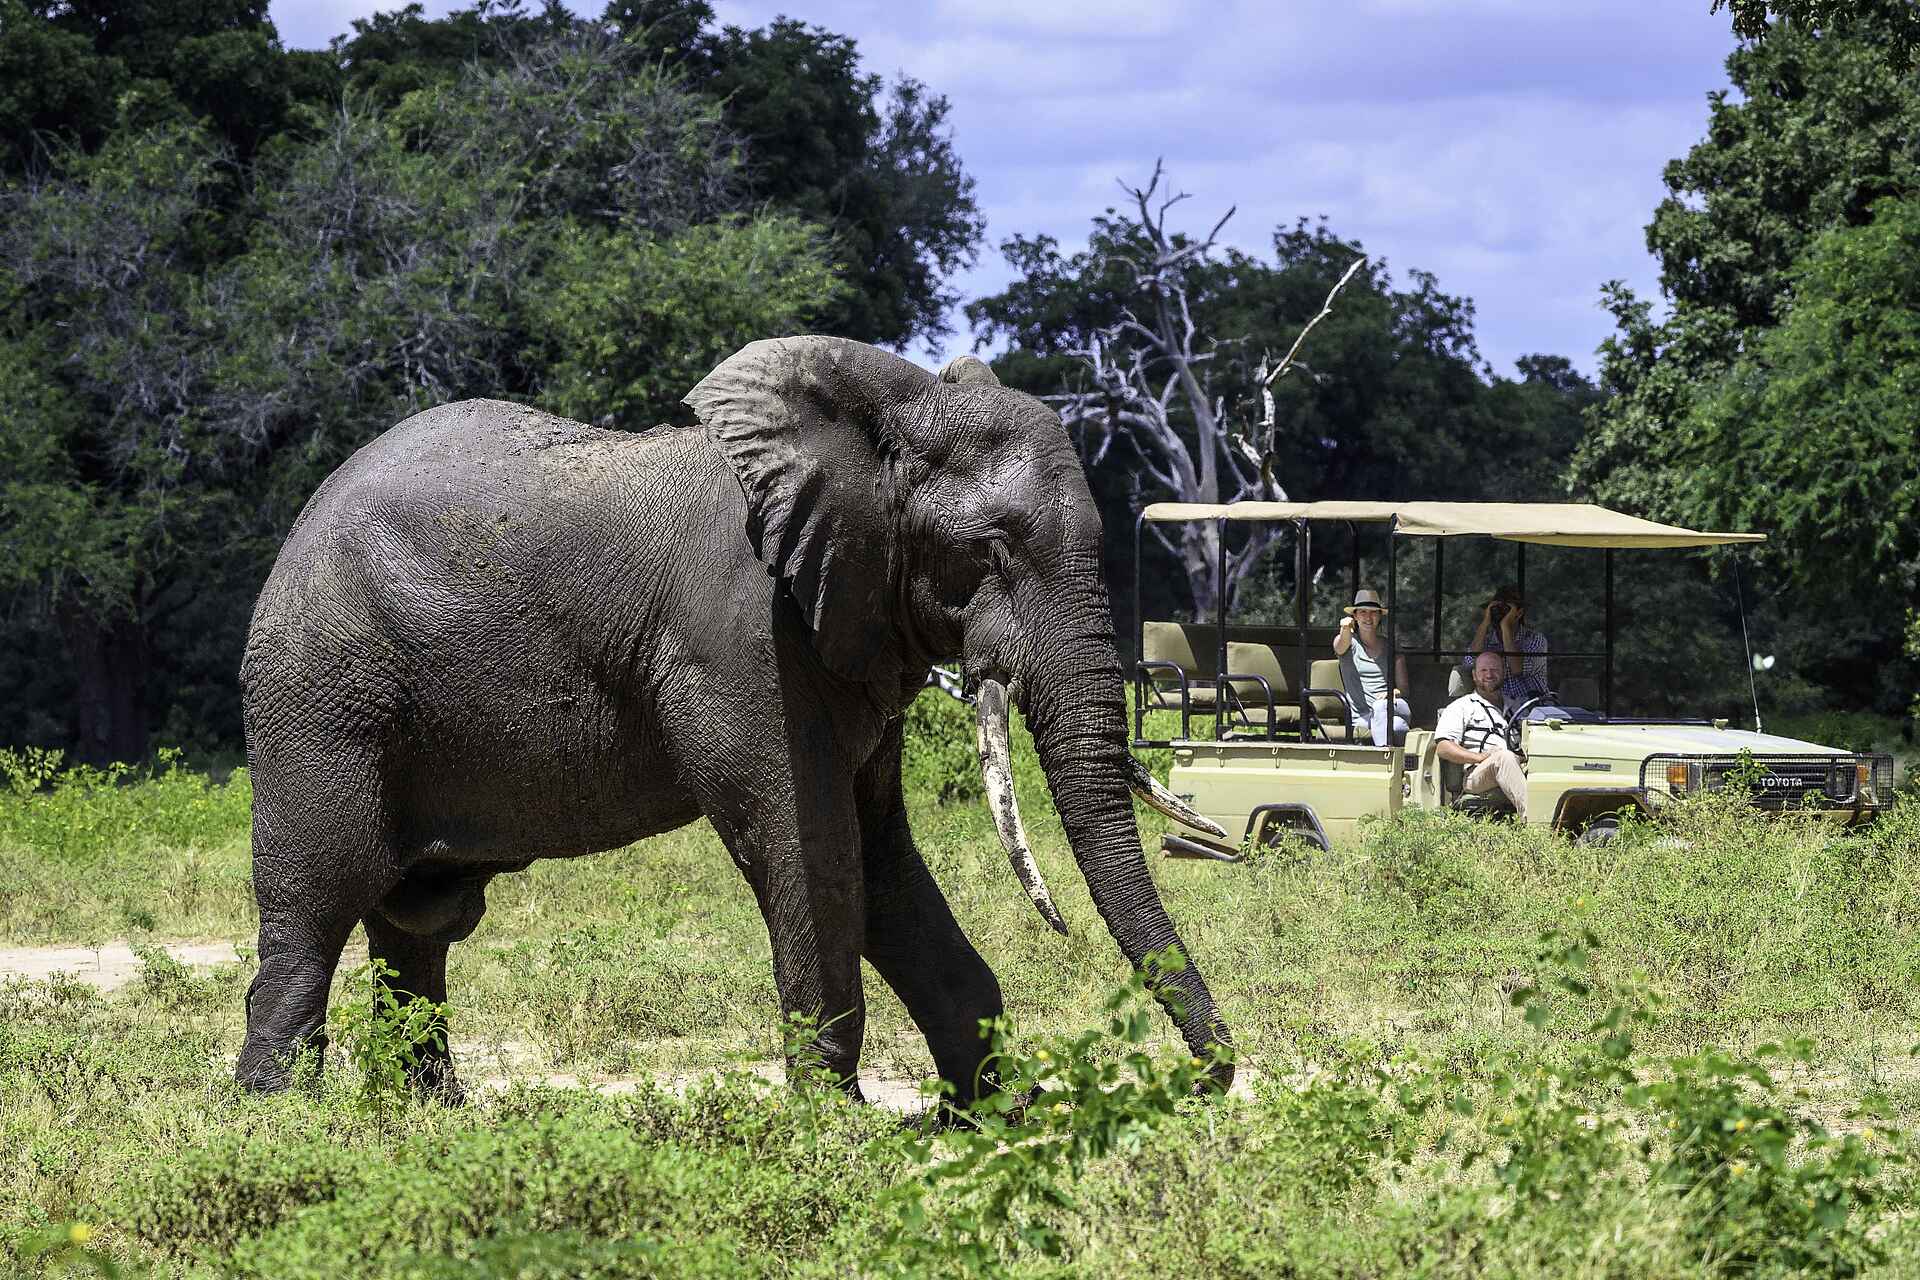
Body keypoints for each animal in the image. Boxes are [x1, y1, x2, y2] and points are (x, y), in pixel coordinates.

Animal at [234, 335, 1233, 1104]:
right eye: (991, 549)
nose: (1203, 1084)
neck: (884, 415)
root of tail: (297, 526)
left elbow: (878, 856)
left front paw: (992, 1119)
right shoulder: (742, 639)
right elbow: (808, 846)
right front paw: (835, 1130)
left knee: (415, 925)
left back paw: (426, 1121)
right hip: (321, 695)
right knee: (317, 902)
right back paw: (283, 1122)